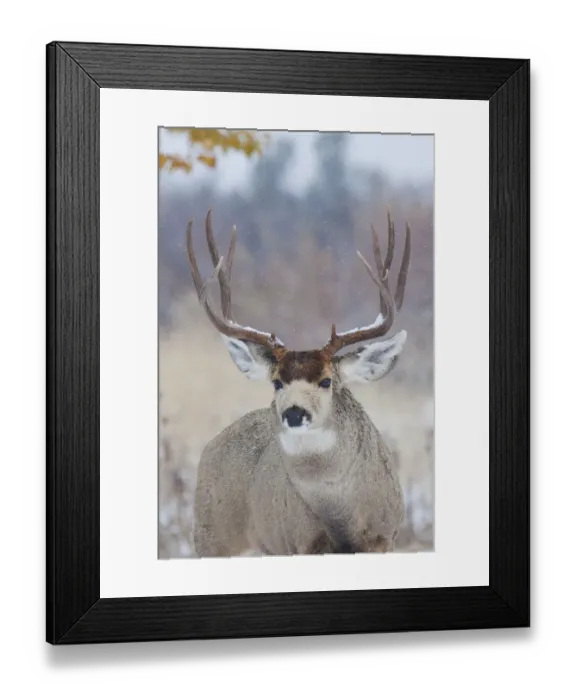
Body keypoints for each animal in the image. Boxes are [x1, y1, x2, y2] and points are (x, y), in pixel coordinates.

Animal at [186, 209, 411, 557]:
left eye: (327, 381)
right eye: (277, 382)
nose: (293, 412)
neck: (342, 523)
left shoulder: (384, 537)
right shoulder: (302, 543)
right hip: (211, 539)